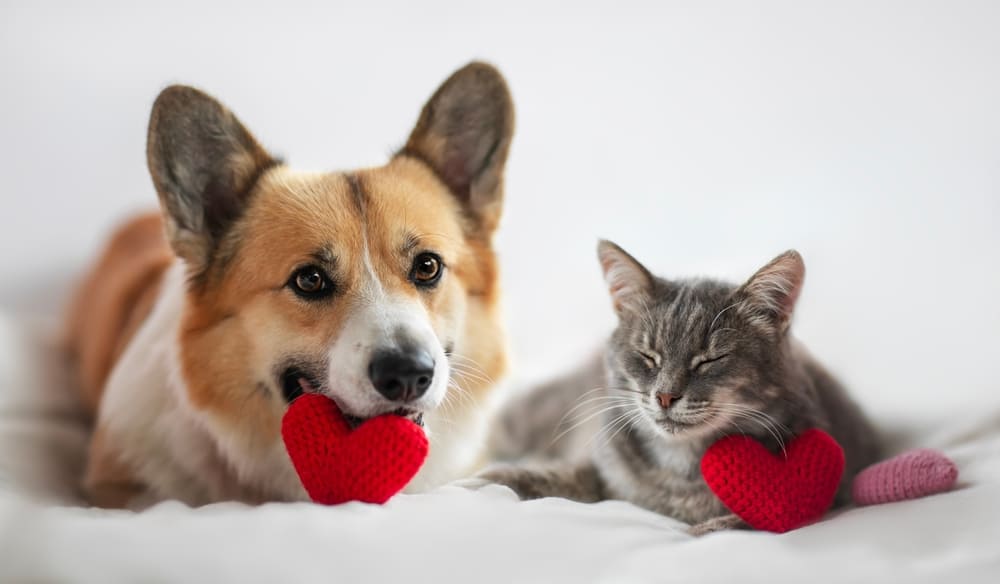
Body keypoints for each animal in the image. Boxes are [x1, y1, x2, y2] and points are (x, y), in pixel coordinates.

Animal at [480, 241, 880, 532]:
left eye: (709, 359)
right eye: (648, 356)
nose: (665, 395)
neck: (680, 466)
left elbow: (734, 523)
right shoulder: (599, 463)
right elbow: (555, 477)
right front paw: (488, 481)